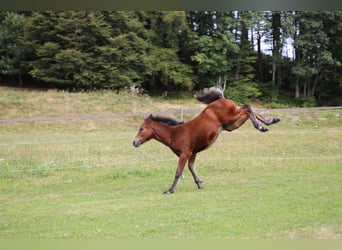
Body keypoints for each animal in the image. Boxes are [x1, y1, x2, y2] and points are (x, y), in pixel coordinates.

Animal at [132, 89, 280, 194]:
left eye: (141, 129)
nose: (134, 142)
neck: (174, 133)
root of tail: (221, 99)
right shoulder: (193, 153)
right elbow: (192, 168)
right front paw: (199, 184)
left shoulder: (184, 154)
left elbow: (178, 172)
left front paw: (170, 190)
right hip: (232, 124)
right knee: (249, 110)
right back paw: (270, 122)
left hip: (231, 119)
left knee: (247, 106)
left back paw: (259, 126)